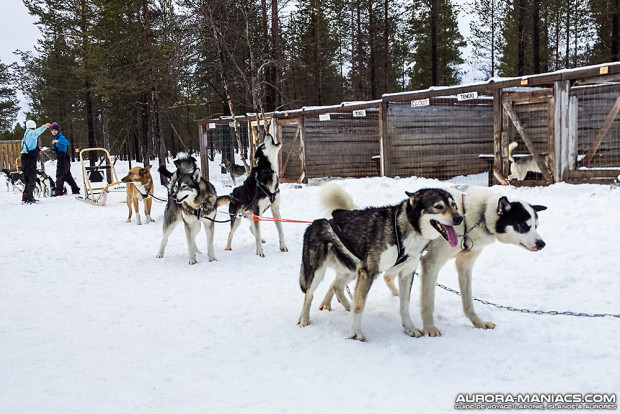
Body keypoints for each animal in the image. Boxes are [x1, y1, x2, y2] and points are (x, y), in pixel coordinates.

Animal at [298, 183, 462, 342]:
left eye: (454, 205)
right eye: (438, 206)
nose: (459, 218)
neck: (402, 230)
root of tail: (313, 224)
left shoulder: (406, 274)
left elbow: (404, 305)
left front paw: (409, 328)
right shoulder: (367, 271)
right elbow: (359, 305)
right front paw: (355, 334)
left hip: (351, 270)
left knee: (337, 286)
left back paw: (347, 306)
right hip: (318, 272)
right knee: (309, 295)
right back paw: (304, 319)